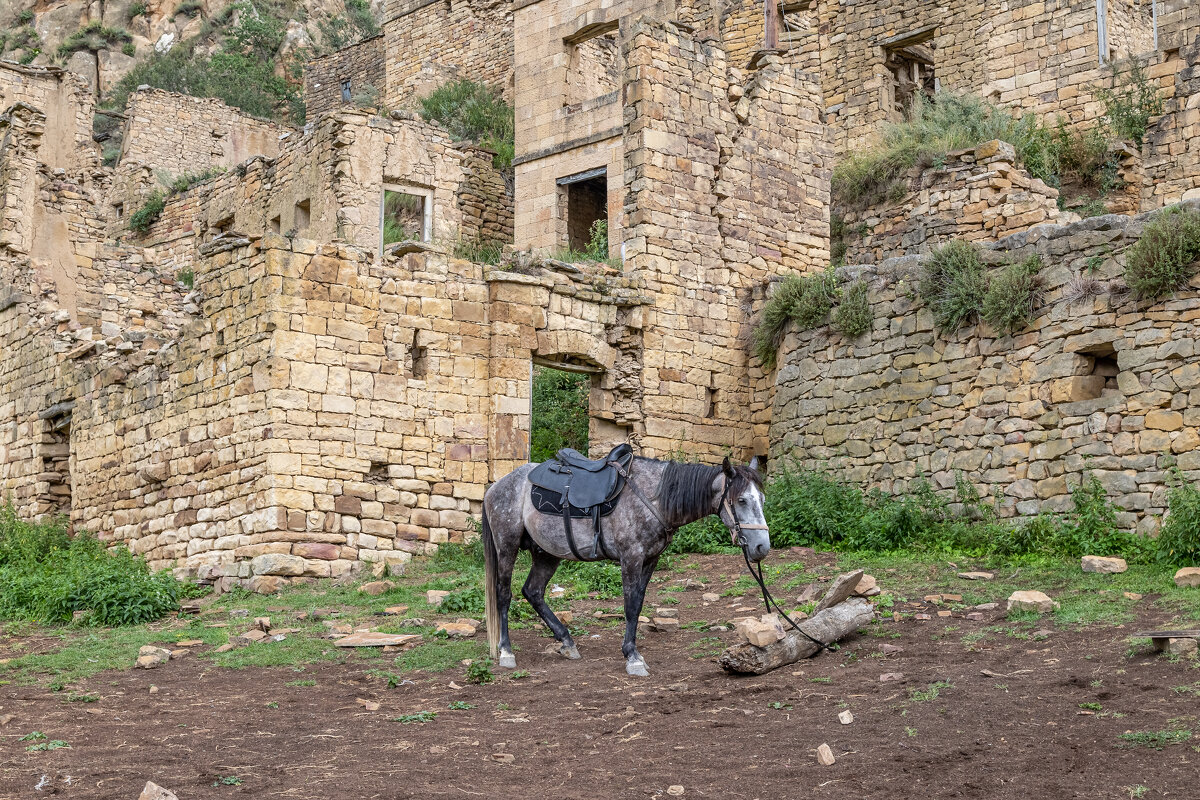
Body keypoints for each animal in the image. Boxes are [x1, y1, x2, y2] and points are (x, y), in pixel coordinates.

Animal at [480, 450, 768, 676]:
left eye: (762, 499)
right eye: (741, 500)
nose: (761, 547)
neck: (653, 497)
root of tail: (495, 487)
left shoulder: (650, 559)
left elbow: (638, 604)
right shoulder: (631, 557)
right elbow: (630, 606)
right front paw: (633, 657)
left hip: (546, 553)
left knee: (533, 591)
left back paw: (567, 641)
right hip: (507, 546)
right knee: (504, 594)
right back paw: (506, 651)